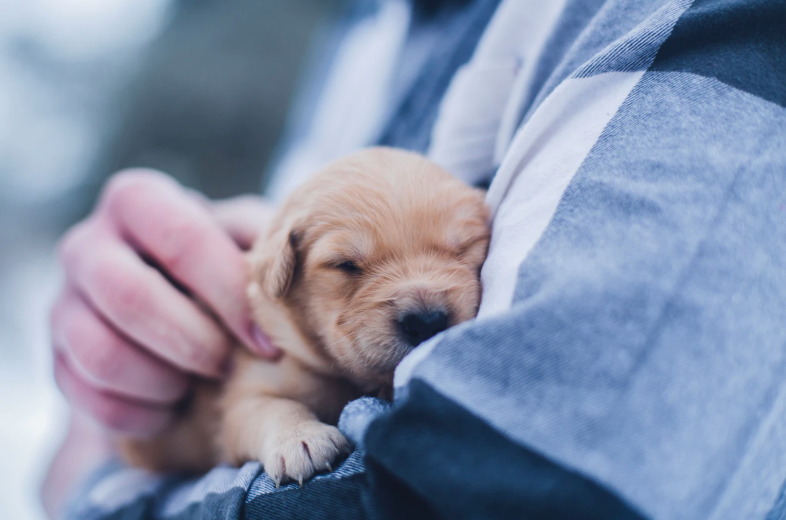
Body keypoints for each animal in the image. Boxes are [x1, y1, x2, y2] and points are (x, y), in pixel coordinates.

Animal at [121, 147, 490, 488]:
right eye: (345, 265)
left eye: (464, 247)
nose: (426, 322)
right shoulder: (244, 393)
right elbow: (272, 407)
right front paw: (300, 439)